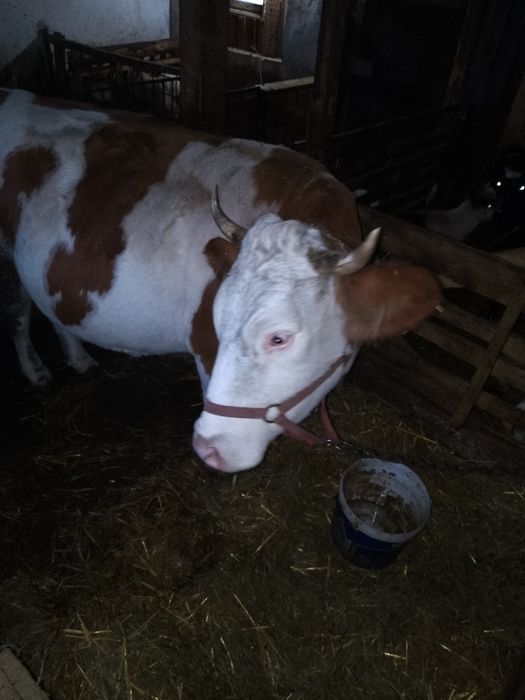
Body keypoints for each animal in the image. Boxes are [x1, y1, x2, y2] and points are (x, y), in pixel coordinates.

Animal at [0, 88, 441, 472]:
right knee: (18, 312)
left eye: (278, 338)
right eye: (216, 319)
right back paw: (36, 371)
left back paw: (78, 359)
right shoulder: (203, 349)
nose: (207, 449)